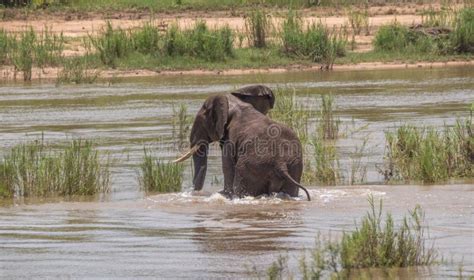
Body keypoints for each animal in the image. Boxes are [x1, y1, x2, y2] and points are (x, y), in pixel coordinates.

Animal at [174, 88, 312, 200]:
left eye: (202, 118)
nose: (195, 193)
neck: (235, 104)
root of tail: (281, 164)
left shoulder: (230, 141)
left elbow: (227, 167)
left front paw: (225, 194)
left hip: (251, 167)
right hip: (294, 166)